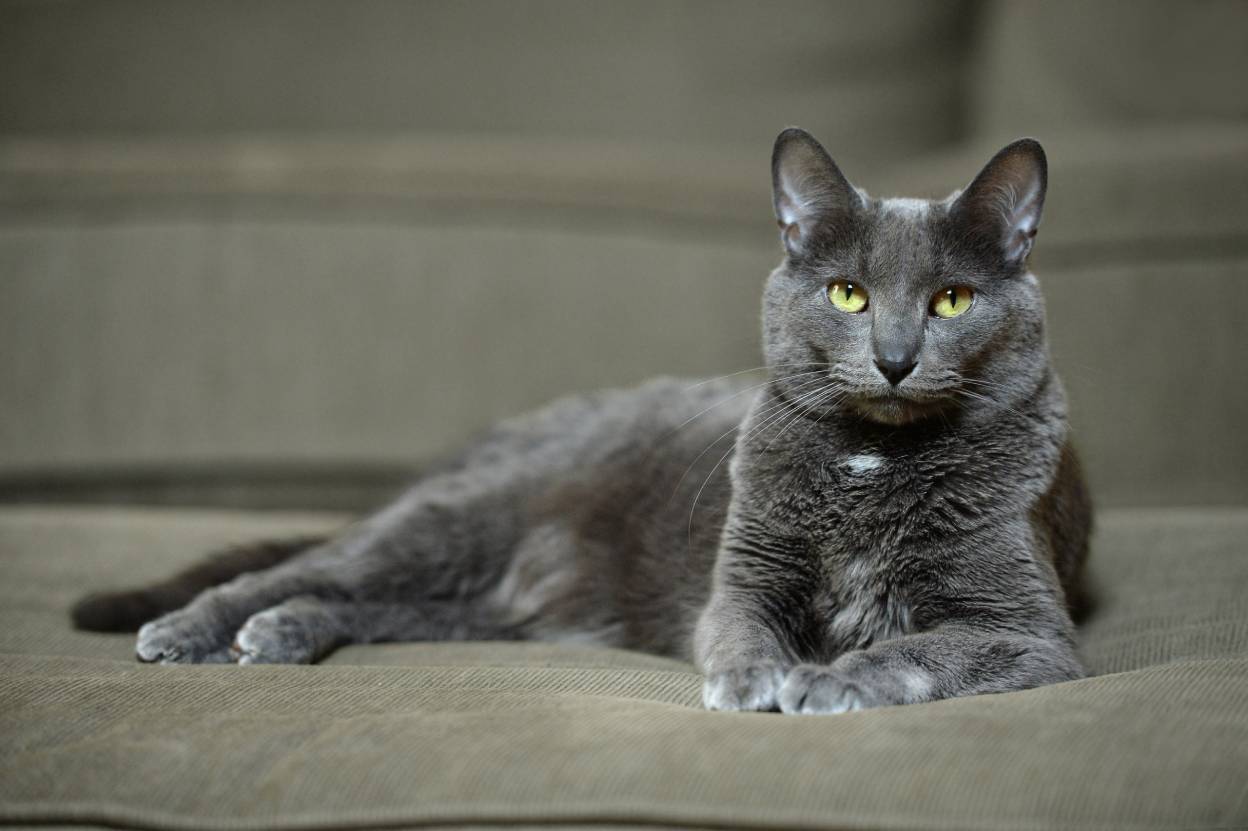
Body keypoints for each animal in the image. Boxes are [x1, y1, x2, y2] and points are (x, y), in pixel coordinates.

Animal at [78, 127, 1093, 713]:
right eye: (849, 293)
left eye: (952, 300)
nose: (892, 356)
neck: (871, 459)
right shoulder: (743, 576)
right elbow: (740, 629)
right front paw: (755, 679)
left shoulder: (1030, 630)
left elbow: (915, 648)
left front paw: (826, 678)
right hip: (460, 517)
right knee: (308, 565)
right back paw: (196, 630)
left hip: (498, 597)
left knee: (400, 605)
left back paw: (286, 631)